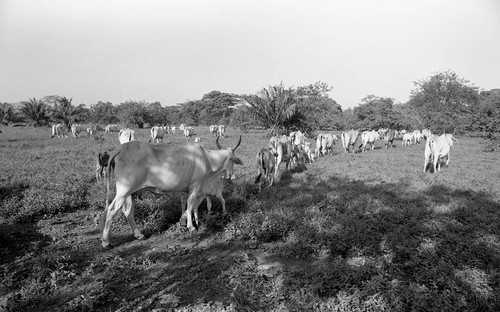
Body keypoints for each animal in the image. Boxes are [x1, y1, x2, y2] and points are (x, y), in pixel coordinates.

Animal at [100, 141, 232, 249]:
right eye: (231, 159)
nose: (231, 177)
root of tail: (121, 148)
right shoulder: (196, 185)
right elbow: (190, 205)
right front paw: (191, 226)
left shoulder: (189, 190)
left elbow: (187, 204)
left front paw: (184, 221)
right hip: (124, 190)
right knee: (112, 209)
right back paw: (106, 242)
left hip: (130, 193)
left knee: (128, 211)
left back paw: (139, 234)